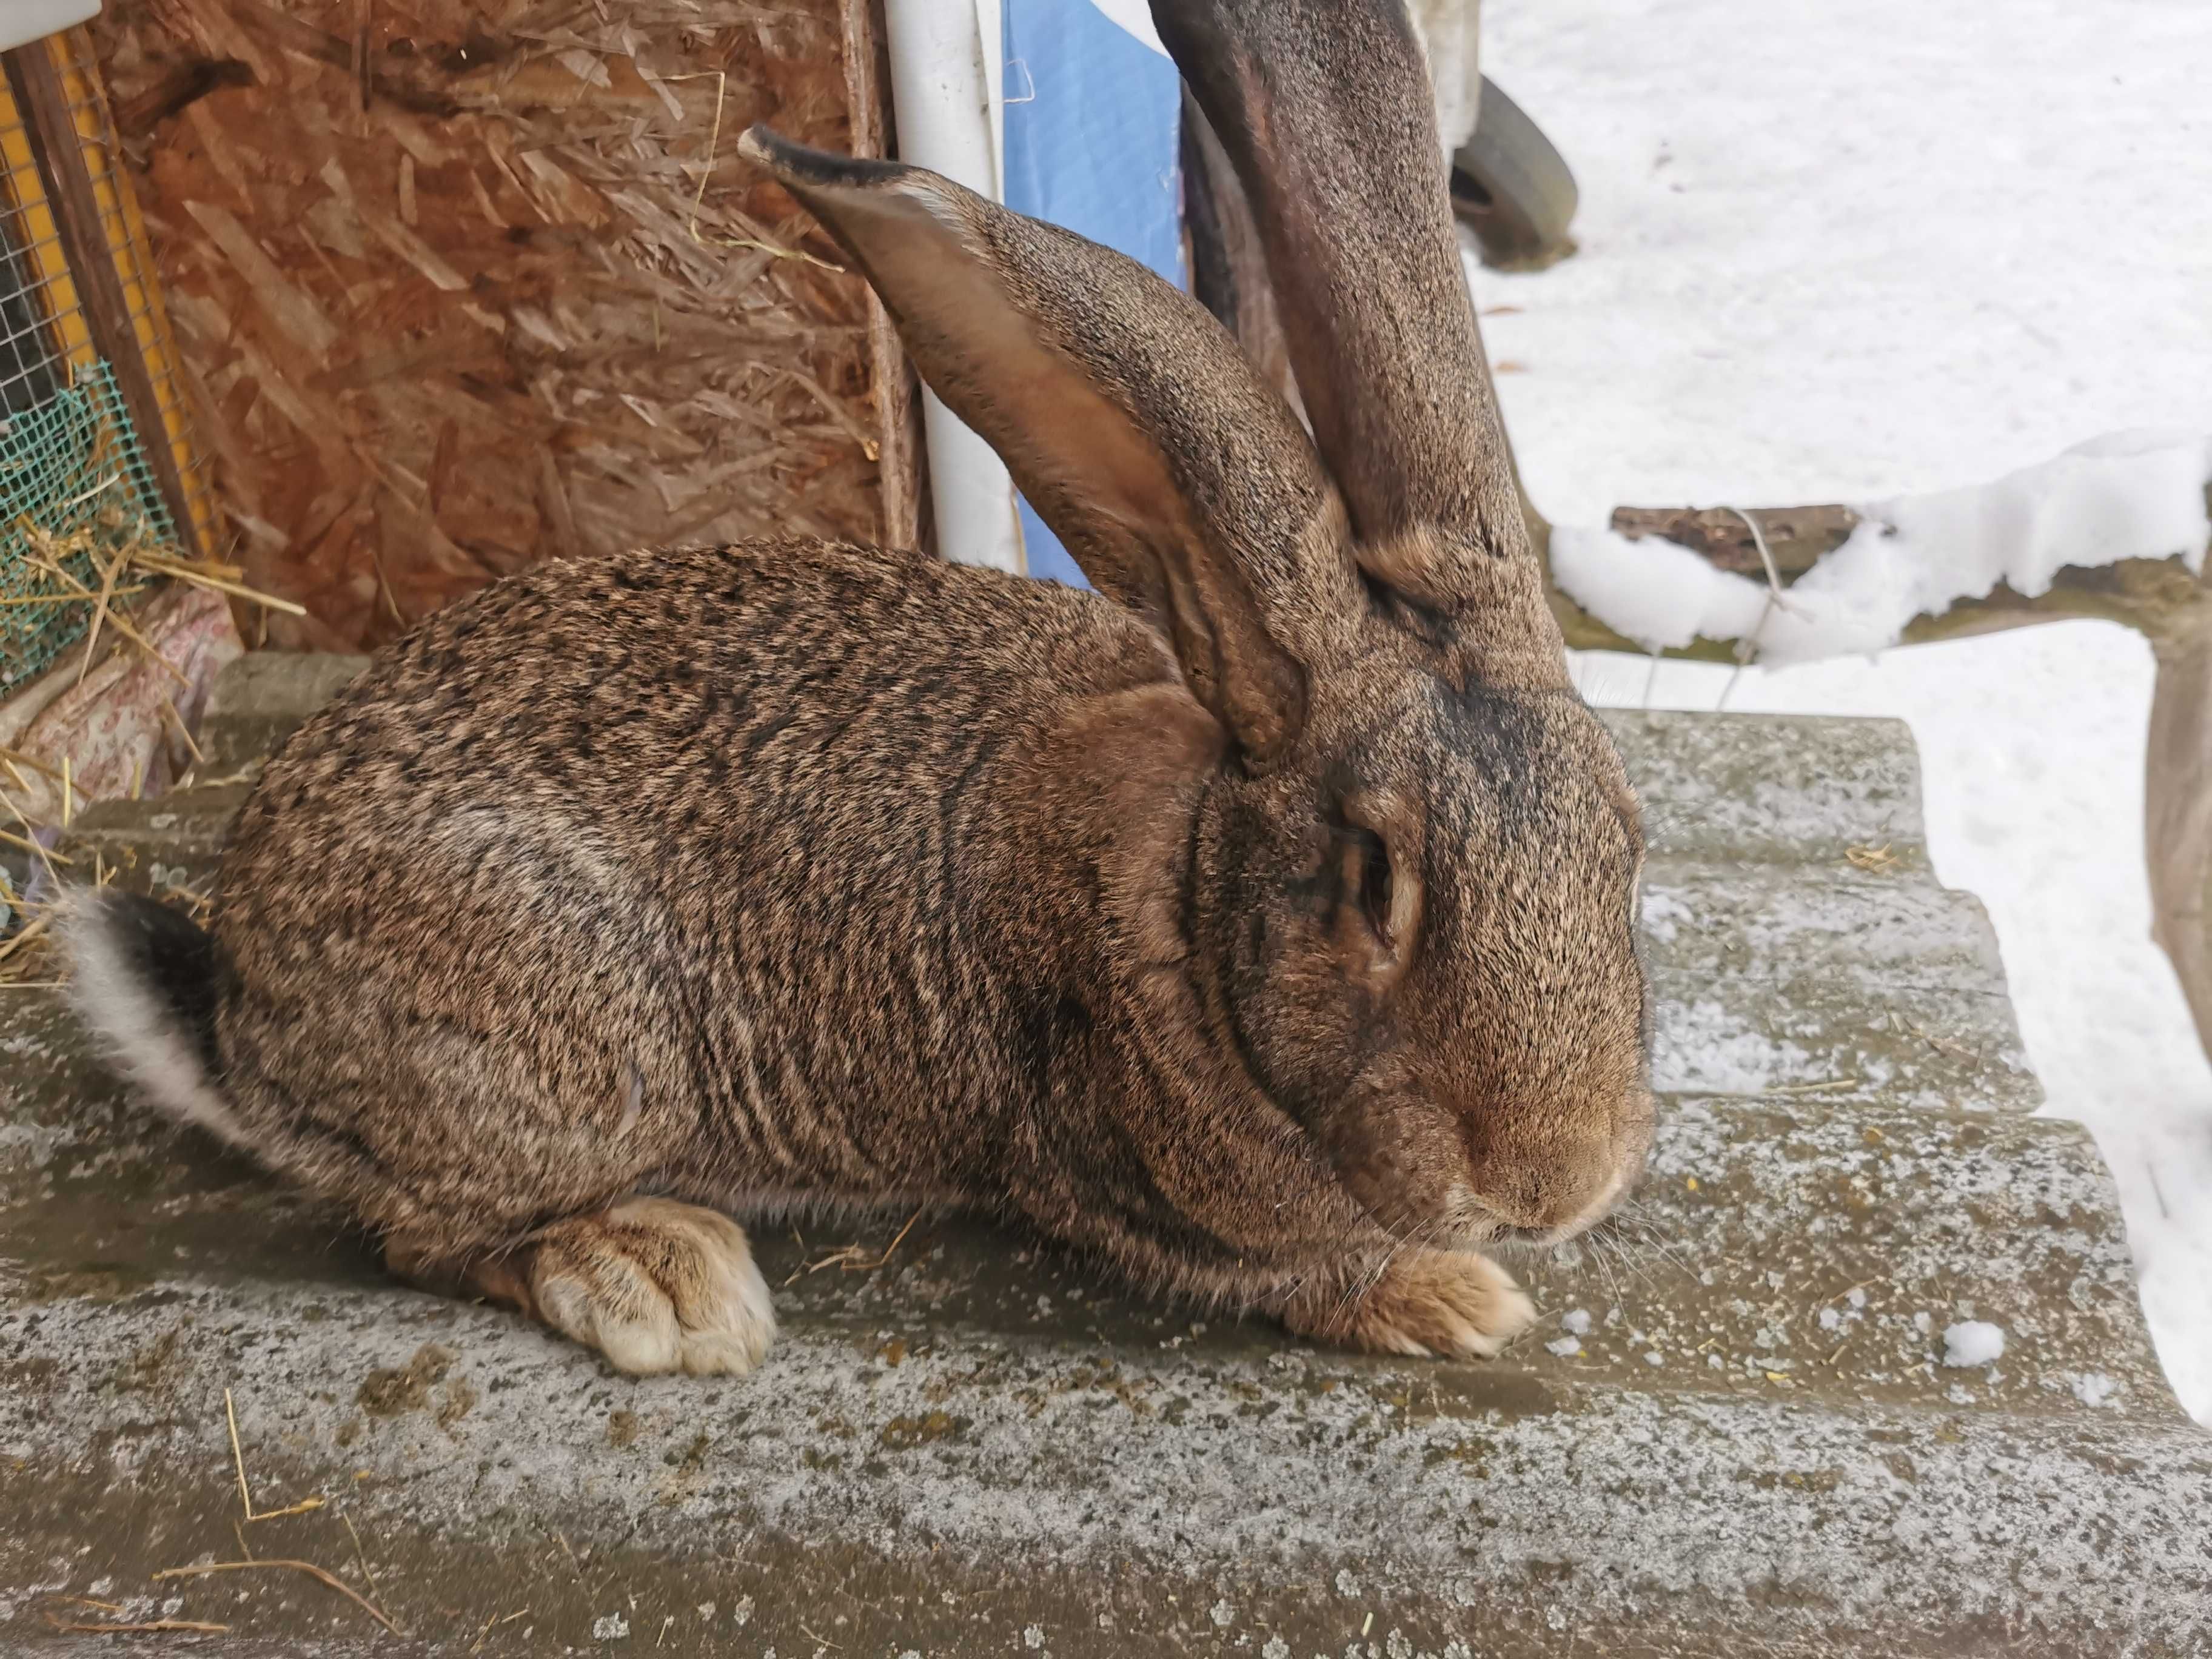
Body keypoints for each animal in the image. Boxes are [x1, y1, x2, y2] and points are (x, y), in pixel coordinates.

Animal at [64, 0, 1646, 1380]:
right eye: (1374, 877)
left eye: (1627, 846)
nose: (1553, 1180)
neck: (1191, 892)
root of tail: (242, 1018)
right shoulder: (1107, 1168)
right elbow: (1282, 1267)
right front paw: (1450, 1296)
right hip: (570, 1042)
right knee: (425, 1228)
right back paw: (655, 1273)